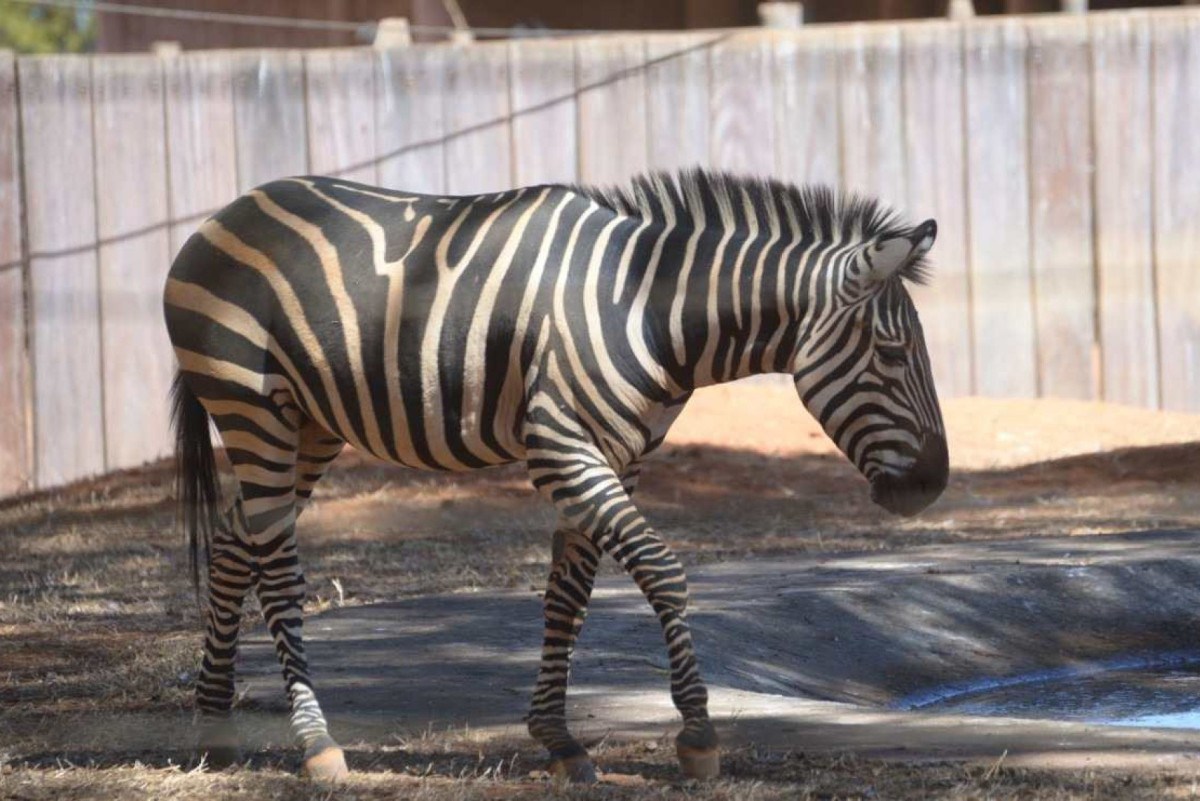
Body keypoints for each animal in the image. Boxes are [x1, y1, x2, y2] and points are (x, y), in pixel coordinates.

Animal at [166, 170, 945, 781]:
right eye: (890, 350)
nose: (933, 485)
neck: (649, 310)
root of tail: (228, 210)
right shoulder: (561, 448)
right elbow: (662, 569)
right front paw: (697, 734)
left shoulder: (615, 457)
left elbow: (567, 597)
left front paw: (560, 739)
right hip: (251, 405)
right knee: (277, 564)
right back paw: (317, 744)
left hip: (309, 425)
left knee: (237, 541)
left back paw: (213, 728)